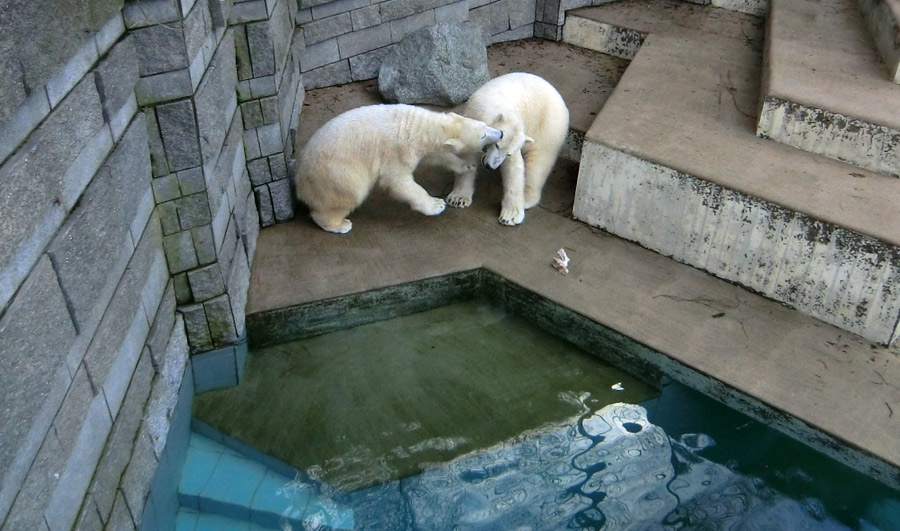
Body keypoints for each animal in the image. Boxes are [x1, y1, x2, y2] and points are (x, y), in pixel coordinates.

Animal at [298, 104, 506, 233]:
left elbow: (437, 156)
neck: (418, 127)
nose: (501, 133)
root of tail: (300, 180)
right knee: (349, 193)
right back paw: (340, 224)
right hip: (337, 172)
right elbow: (398, 182)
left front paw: (466, 165)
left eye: (485, 125)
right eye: (483, 135)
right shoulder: (396, 151)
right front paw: (436, 205)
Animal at [444, 71, 568, 227]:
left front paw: (510, 216)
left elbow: (514, 169)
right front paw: (458, 199)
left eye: (508, 153)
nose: (490, 166)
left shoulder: (515, 139)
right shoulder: (473, 123)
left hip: (548, 126)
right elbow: (468, 158)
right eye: (497, 145)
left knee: (539, 162)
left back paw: (526, 199)